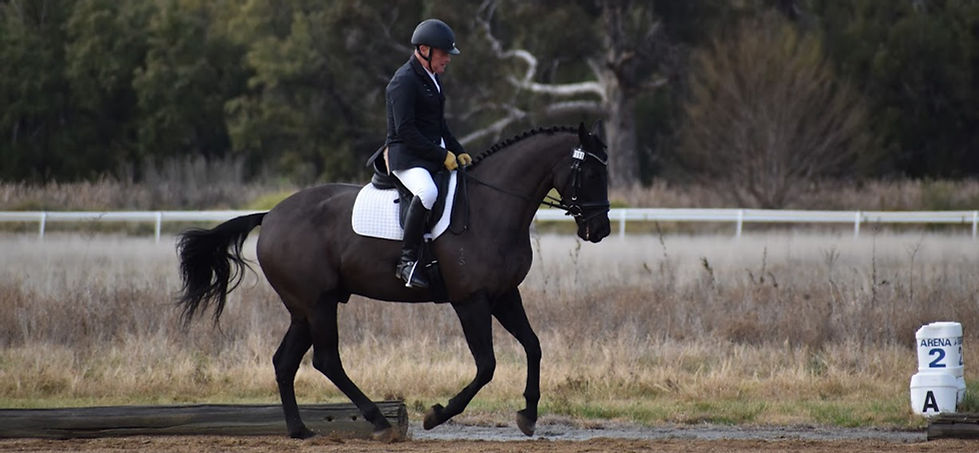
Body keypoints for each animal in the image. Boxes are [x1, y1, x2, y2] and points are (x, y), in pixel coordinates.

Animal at [175, 123, 612, 441]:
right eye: (591, 172)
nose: (600, 230)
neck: (493, 208)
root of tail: (271, 216)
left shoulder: (504, 295)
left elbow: (534, 347)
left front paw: (529, 415)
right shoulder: (470, 300)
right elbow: (486, 365)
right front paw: (437, 415)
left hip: (305, 307)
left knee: (285, 361)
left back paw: (300, 431)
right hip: (318, 303)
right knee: (326, 359)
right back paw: (380, 423)